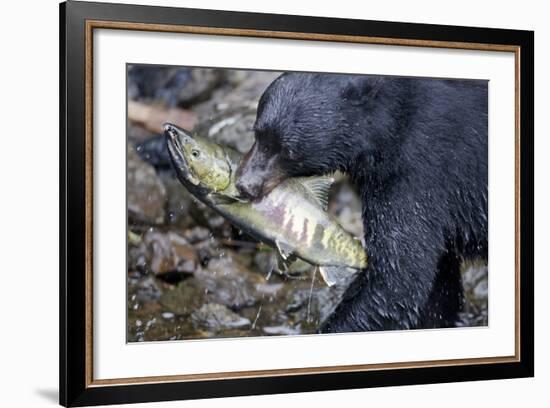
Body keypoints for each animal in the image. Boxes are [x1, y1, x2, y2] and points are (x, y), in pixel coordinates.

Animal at [235, 73, 490, 334]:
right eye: (257, 134)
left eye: (288, 150)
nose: (245, 184)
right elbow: (438, 284)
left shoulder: (417, 175)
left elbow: (397, 278)